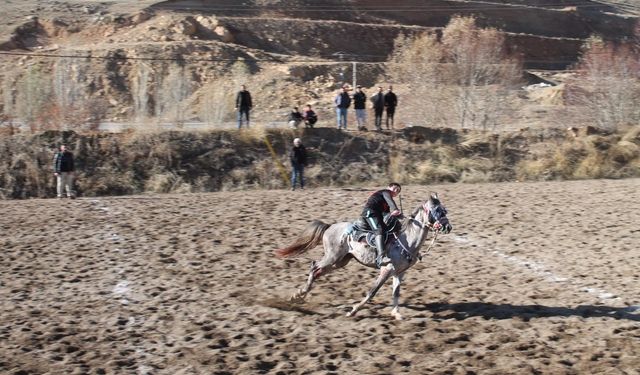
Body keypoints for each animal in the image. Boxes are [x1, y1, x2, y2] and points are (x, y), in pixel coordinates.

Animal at [274, 194, 450, 320]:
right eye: (437, 211)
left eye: (445, 210)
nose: (448, 227)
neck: (406, 238)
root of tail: (330, 226)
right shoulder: (386, 270)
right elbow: (372, 292)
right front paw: (353, 311)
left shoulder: (400, 273)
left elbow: (396, 293)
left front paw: (396, 313)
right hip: (332, 257)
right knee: (314, 266)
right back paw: (299, 294)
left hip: (340, 261)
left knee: (317, 271)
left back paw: (298, 295)